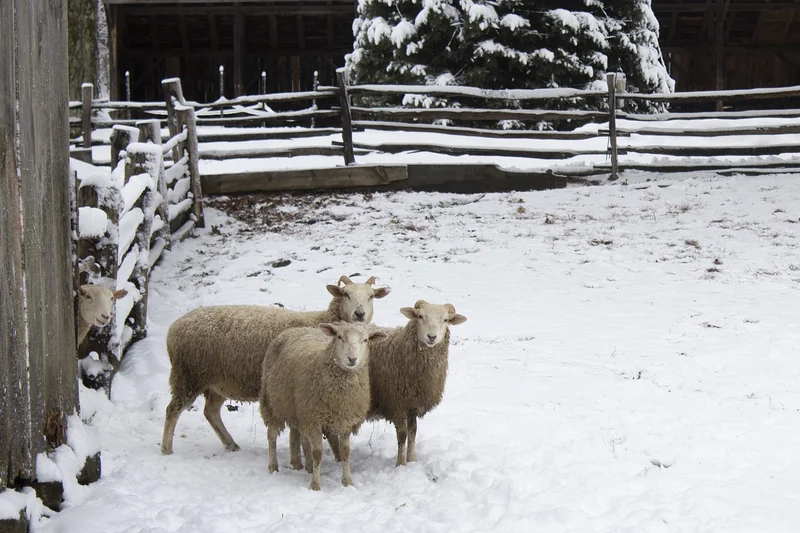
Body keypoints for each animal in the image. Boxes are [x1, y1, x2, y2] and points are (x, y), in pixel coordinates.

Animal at [160, 274, 390, 454]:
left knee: (211, 412)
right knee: (173, 410)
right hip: (188, 375)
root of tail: (173, 328)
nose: (359, 314)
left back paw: (230, 444)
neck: (322, 320)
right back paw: (166, 448)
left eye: (371, 296)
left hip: (217, 381)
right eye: (345, 294)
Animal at [260, 320, 390, 490]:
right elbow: (317, 453)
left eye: (365, 340)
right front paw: (315, 485)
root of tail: (294, 329)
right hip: (272, 404)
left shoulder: (345, 419)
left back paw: (303, 466)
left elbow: (345, 452)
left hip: (297, 409)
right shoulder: (314, 419)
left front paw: (347, 482)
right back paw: (273, 467)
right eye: (339, 337)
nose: (352, 359)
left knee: (297, 435)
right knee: (272, 436)